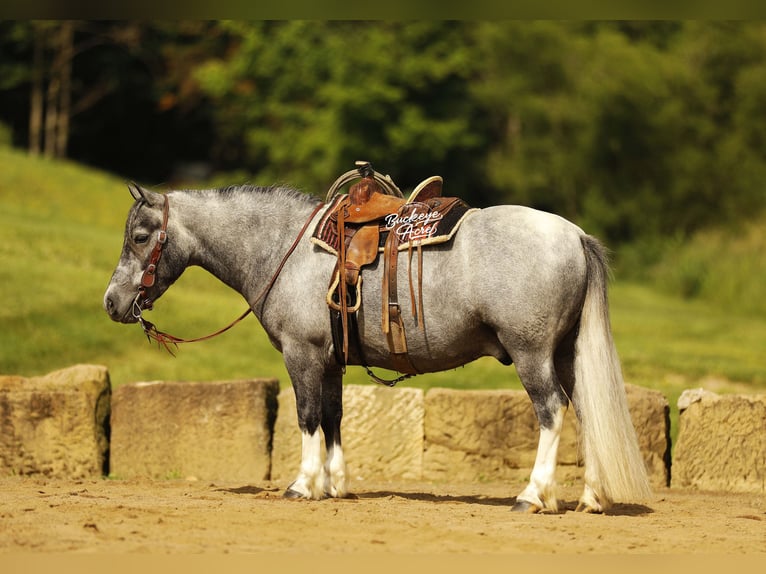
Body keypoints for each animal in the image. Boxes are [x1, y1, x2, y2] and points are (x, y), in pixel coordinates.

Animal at [103, 180, 651, 514]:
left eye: (140, 236)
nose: (111, 302)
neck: (284, 248)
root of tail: (574, 235)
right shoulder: (330, 361)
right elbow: (332, 417)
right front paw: (334, 484)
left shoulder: (302, 354)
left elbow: (306, 417)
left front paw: (303, 484)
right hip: (564, 354)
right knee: (586, 411)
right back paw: (592, 497)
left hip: (532, 354)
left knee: (552, 412)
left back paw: (533, 495)